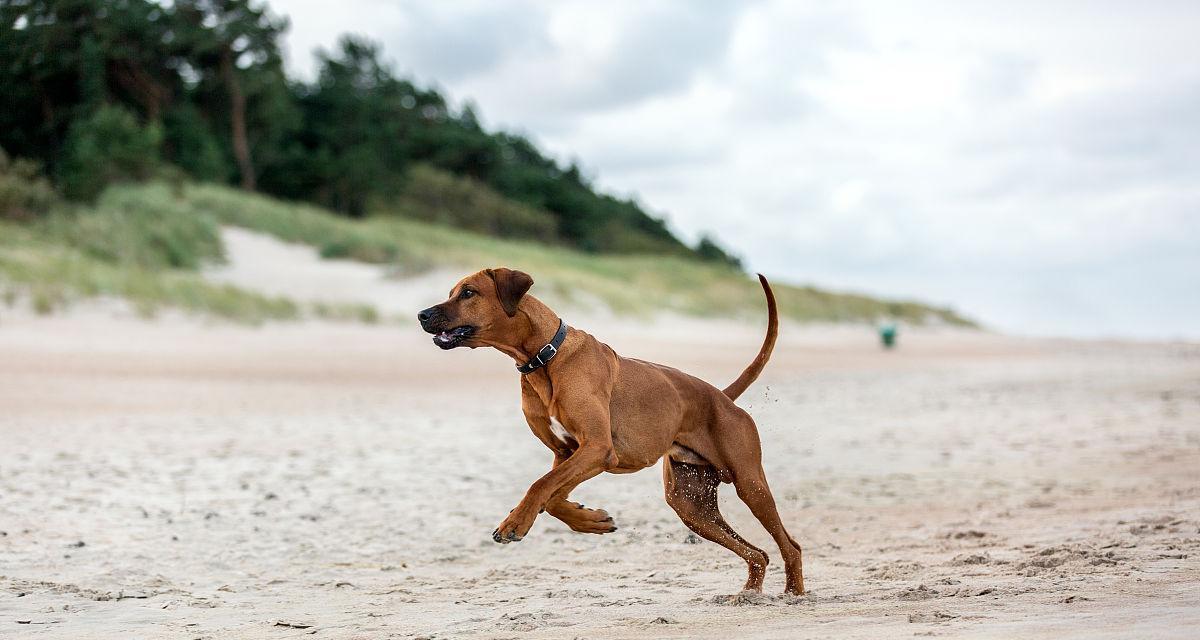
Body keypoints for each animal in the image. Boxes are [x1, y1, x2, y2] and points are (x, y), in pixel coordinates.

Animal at [417, 266, 801, 590]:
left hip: (750, 484)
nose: (421, 314)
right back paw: (749, 594)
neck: (544, 358)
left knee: (790, 546)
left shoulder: (597, 448)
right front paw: (591, 520)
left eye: (468, 293)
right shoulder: (568, 453)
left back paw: (793, 595)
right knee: (758, 553)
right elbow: (551, 495)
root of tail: (722, 397)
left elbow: (541, 486)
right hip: (690, 506)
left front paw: (516, 522)